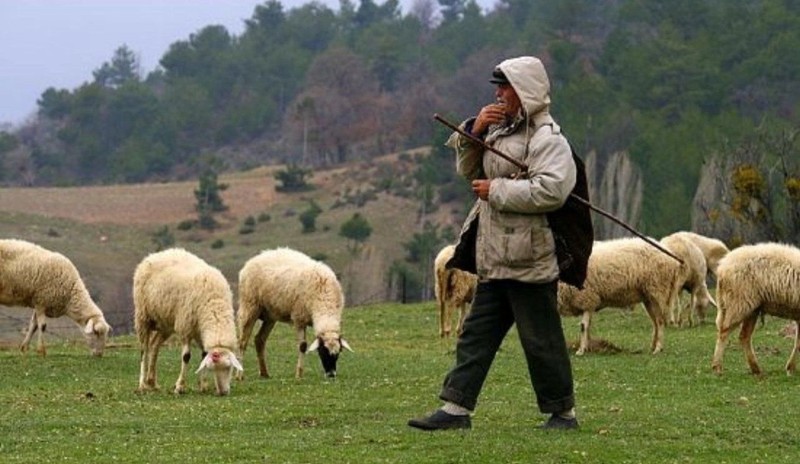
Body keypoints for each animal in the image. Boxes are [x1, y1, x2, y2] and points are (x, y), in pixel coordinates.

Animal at [134, 246, 242, 396]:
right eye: (213, 369)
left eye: (229, 367)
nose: (223, 392)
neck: (214, 302)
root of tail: (154, 255)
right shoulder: (185, 327)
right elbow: (186, 357)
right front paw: (180, 386)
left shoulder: (200, 331)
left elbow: (204, 355)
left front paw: (203, 385)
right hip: (143, 316)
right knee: (144, 349)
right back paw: (142, 384)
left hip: (165, 323)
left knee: (154, 345)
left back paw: (152, 383)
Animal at [236, 248, 352, 378]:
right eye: (322, 351)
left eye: (339, 352)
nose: (331, 374)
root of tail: (253, 260)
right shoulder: (299, 318)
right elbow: (303, 346)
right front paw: (299, 374)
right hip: (249, 306)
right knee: (242, 342)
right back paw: (239, 375)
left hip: (270, 315)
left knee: (259, 340)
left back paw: (264, 373)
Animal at [712, 243, 800, 376]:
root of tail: (723, 267)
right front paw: (791, 368)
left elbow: (798, 343)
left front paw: (791, 368)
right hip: (738, 304)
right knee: (724, 332)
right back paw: (717, 367)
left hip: (750, 309)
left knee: (744, 336)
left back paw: (756, 369)